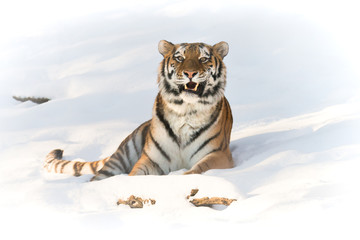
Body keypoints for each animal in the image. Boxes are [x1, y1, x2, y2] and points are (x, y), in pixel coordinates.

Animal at [44, 39, 233, 180]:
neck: (185, 109)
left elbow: (197, 170)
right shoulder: (151, 160)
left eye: (203, 59)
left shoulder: (219, 154)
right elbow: (135, 175)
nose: (190, 73)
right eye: (180, 58)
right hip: (120, 156)